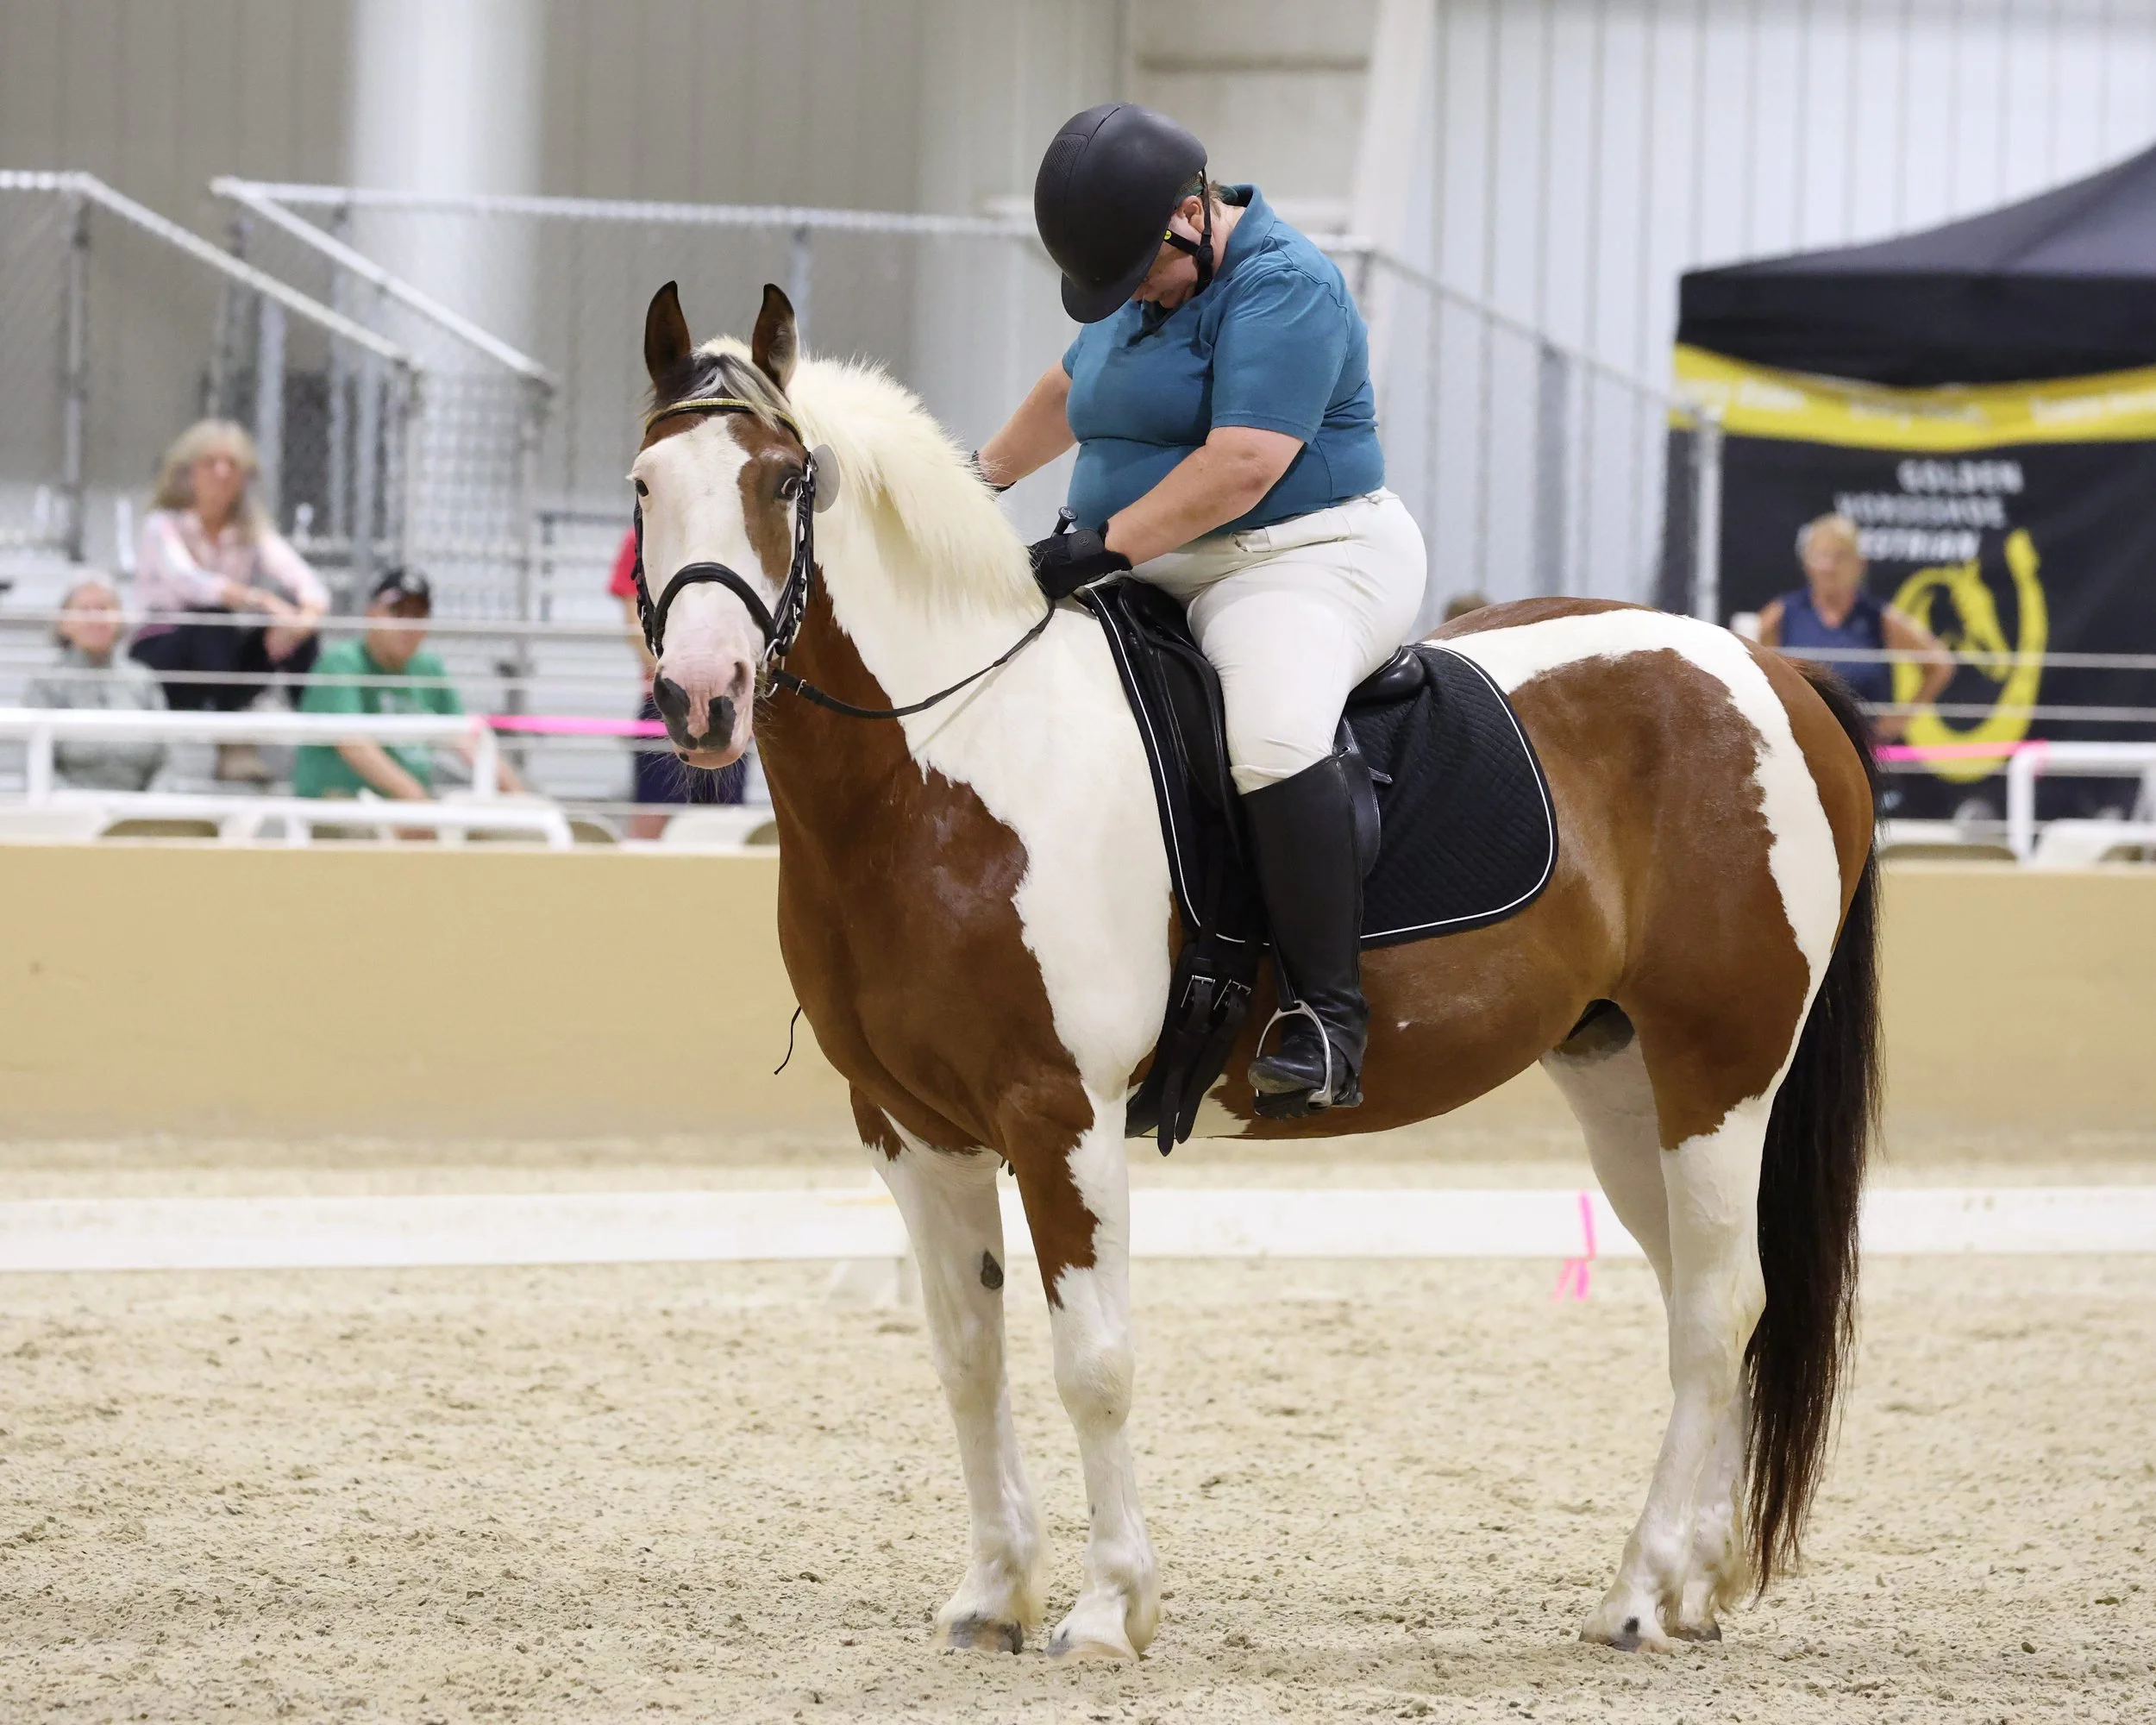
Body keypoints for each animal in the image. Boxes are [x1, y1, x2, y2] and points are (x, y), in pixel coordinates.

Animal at [628, 280, 1879, 1662]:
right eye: (643, 483)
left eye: (787, 480)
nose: (700, 697)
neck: (953, 759)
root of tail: (1769, 671)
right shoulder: (911, 1125)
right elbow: (965, 1354)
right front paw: (993, 1594)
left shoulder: (1058, 1113)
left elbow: (1093, 1361)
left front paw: (1108, 1608)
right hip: (1622, 1079)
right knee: (1710, 1295)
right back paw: (1694, 1580)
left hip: (1722, 1071)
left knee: (1719, 1310)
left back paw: (1644, 1593)